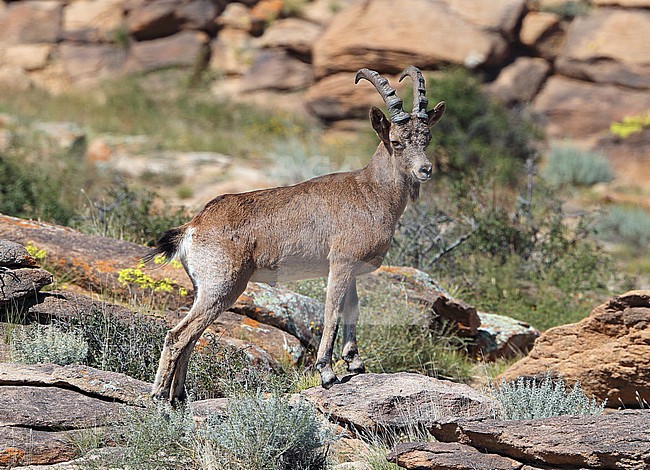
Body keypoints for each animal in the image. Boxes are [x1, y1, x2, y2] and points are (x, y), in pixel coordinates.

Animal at [145, 66, 445, 401]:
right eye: (396, 141)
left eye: (427, 136)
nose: (425, 170)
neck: (370, 193)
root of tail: (194, 226)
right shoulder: (340, 263)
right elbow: (332, 312)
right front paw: (327, 372)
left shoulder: (351, 269)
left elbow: (352, 310)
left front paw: (355, 363)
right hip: (222, 286)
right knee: (177, 335)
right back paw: (159, 397)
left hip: (204, 290)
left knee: (191, 338)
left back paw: (178, 398)